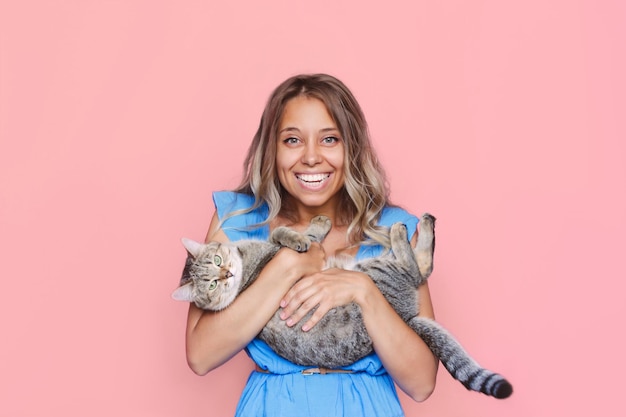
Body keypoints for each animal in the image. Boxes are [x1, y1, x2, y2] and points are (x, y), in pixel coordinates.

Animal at [172, 213, 512, 398]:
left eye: (217, 260)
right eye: (211, 285)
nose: (226, 275)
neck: (246, 264)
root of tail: (406, 317)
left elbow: (284, 231)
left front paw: (312, 227)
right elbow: (291, 236)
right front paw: (305, 235)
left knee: (422, 270)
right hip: (377, 270)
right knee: (417, 269)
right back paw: (403, 231)